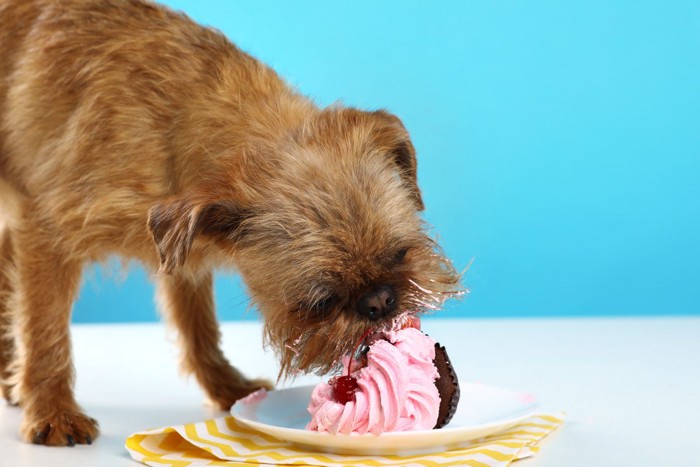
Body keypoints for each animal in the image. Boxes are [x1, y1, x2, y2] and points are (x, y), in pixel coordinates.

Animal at [0, 0, 462, 448]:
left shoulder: (181, 249)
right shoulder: (49, 231)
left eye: (400, 254)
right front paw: (53, 410)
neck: (178, 122)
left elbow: (197, 327)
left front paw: (226, 387)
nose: (380, 301)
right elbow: (44, 328)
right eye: (320, 303)